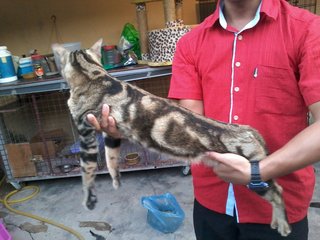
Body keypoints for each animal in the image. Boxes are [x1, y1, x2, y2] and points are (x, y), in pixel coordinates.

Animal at [52, 39, 292, 236]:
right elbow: (111, 160)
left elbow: (87, 172)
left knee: (278, 192)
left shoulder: (85, 131)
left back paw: (282, 224)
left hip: (254, 176)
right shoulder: (110, 132)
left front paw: (89, 199)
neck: (94, 74)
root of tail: (250, 130)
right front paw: (116, 180)